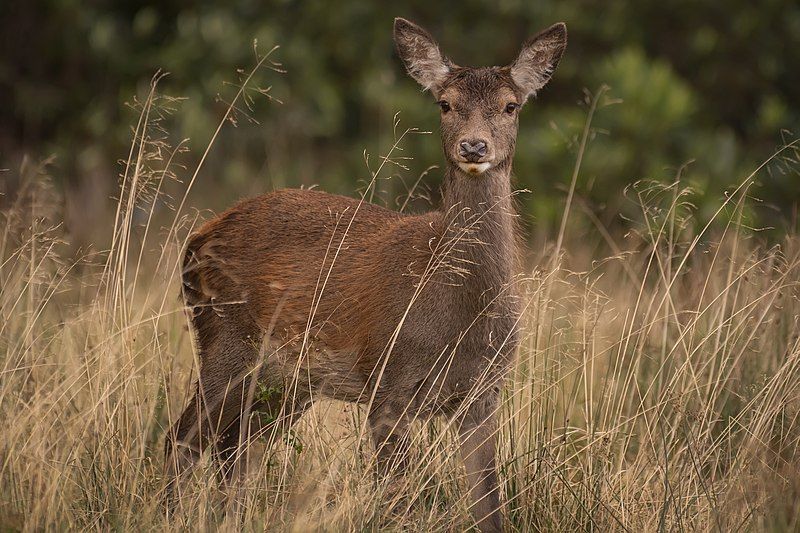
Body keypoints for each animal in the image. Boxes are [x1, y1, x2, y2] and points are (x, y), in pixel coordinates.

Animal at [166, 17, 564, 532]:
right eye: (445, 103)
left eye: (511, 105)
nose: (474, 146)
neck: (459, 309)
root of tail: (195, 241)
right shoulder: (387, 380)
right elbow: (396, 501)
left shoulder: (484, 394)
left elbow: (490, 509)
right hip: (225, 338)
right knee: (183, 440)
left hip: (288, 384)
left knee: (233, 451)